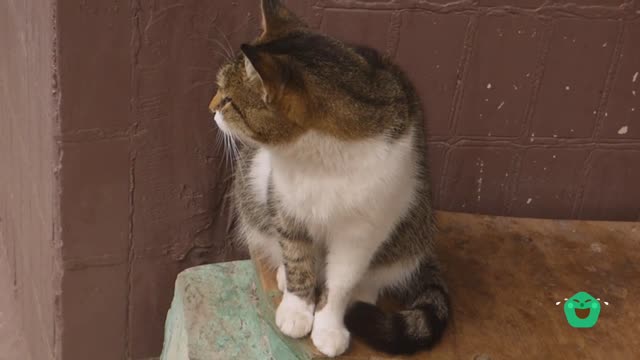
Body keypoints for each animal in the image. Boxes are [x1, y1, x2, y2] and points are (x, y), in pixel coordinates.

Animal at [210, 0, 450, 356]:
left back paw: (362, 295)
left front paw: (329, 325)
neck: (319, 159)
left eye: (227, 99)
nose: (210, 108)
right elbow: (297, 258)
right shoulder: (285, 204)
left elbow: (341, 282)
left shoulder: (362, 231)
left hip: (411, 224)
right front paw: (296, 309)